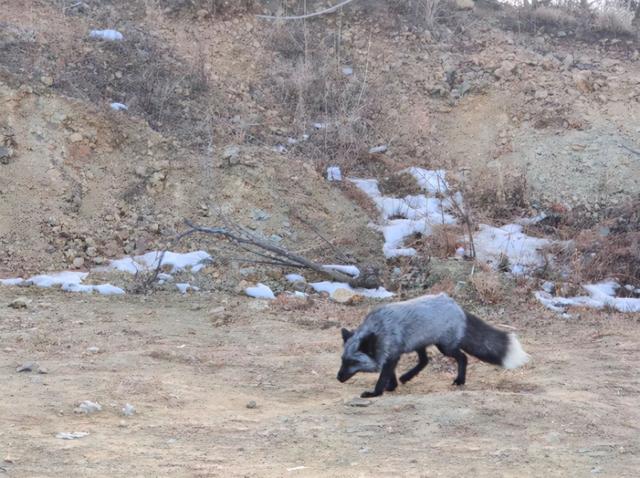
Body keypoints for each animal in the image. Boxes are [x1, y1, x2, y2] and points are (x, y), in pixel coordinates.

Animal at [338, 294, 528, 398]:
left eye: (353, 362)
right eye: (343, 360)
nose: (338, 378)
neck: (379, 330)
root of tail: (455, 305)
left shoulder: (392, 355)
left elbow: (382, 378)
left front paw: (375, 393)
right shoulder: (391, 354)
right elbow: (390, 375)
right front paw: (392, 387)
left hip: (445, 347)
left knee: (463, 357)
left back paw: (460, 380)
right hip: (421, 344)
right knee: (425, 361)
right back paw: (407, 377)